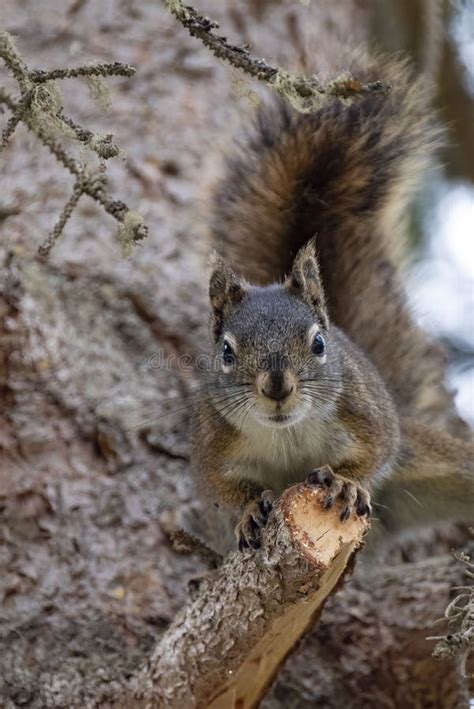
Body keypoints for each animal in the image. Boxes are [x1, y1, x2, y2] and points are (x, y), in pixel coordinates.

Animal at [190, 55, 474, 552]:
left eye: (319, 344)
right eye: (226, 351)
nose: (277, 386)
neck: (287, 433)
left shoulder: (367, 415)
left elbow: (376, 451)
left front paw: (345, 483)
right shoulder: (214, 443)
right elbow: (223, 488)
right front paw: (247, 510)